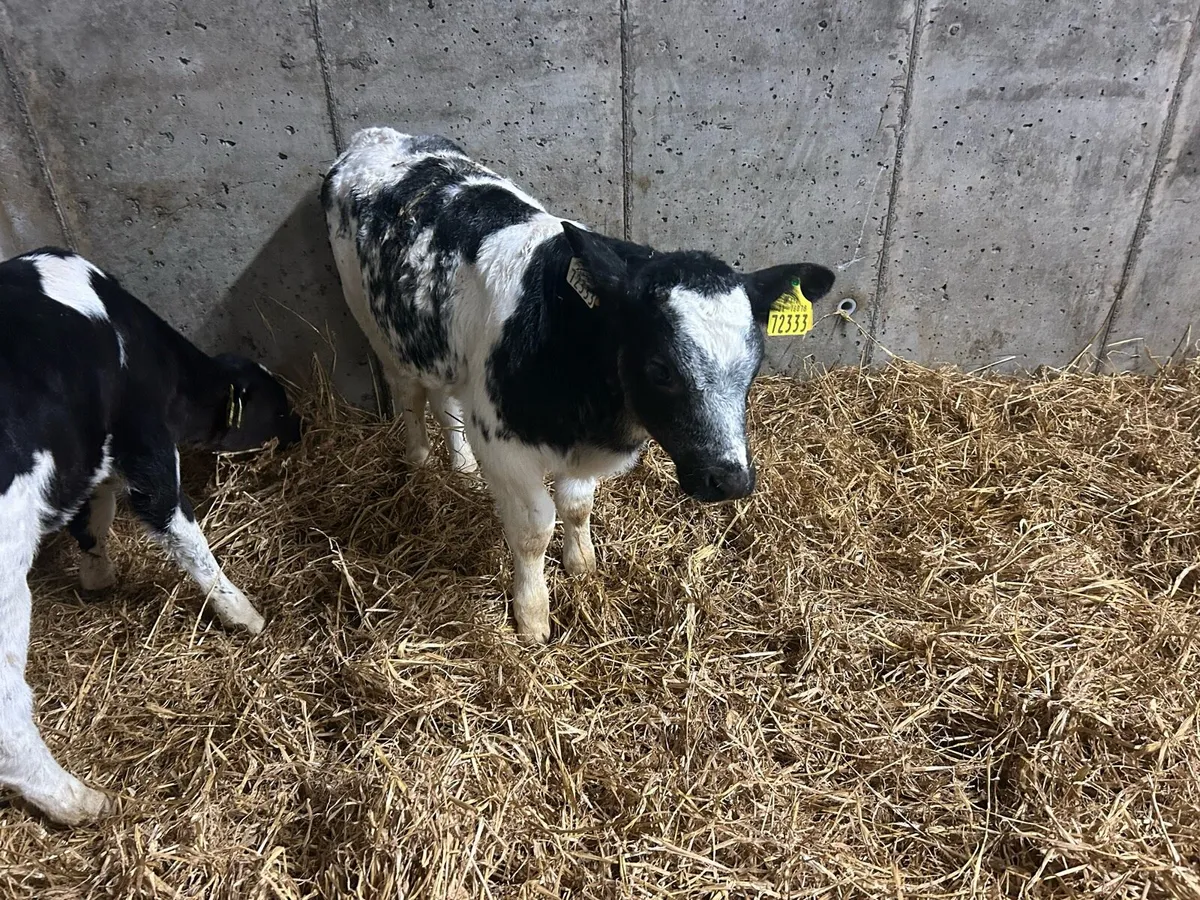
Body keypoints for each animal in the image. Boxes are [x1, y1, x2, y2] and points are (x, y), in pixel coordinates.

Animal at [0, 248, 301, 825]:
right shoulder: (147, 440)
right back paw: (78, 801)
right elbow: (179, 528)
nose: (302, 429)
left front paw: (98, 576)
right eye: (277, 407)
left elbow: (92, 514)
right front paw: (242, 612)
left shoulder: (92, 448)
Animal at [323, 127, 833, 644]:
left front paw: (581, 564)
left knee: (444, 397)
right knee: (406, 392)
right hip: (372, 318)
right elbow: (534, 529)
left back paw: (461, 465)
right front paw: (532, 615)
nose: (730, 479)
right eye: (661, 368)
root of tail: (376, 137)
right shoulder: (505, 447)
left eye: (755, 362)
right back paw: (420, 461)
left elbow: (576, 505)